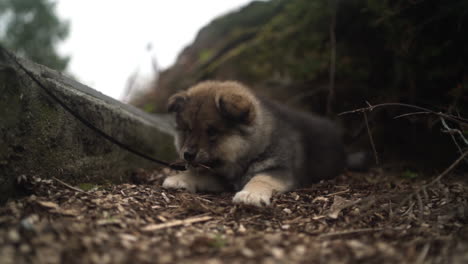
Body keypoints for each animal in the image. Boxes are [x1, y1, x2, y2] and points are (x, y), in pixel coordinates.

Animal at [163, 80, 346, 206]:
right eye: (187, 130)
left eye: (212, 132)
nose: (187, 154)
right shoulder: (222, 177)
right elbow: (200, 173)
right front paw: (180, 179)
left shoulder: (281, 170)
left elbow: (261, 178)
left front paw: (251, 195)